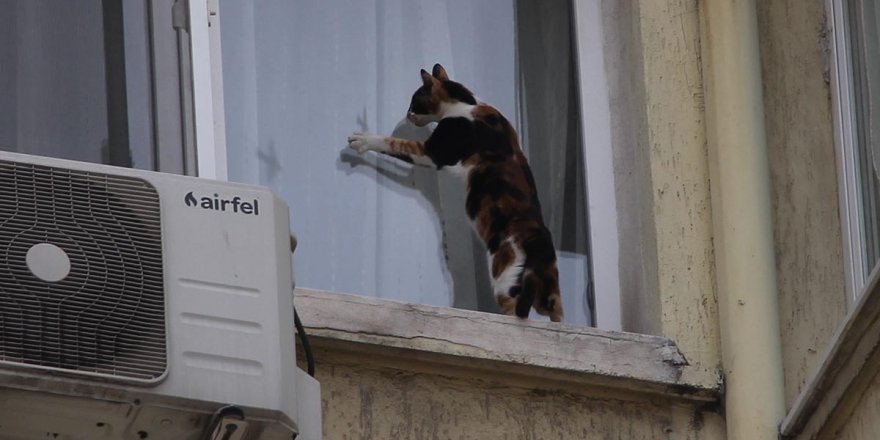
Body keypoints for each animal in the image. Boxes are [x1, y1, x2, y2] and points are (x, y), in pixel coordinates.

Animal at [346, 62, 564, 324]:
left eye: (414, 102)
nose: (407, 114)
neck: (469, 103)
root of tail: (539, 240)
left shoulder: (433, 152)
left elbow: (394, 143)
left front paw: (363, 139)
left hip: (504, 277)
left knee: (515, 312)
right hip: (549, 292)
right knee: (557, 313)